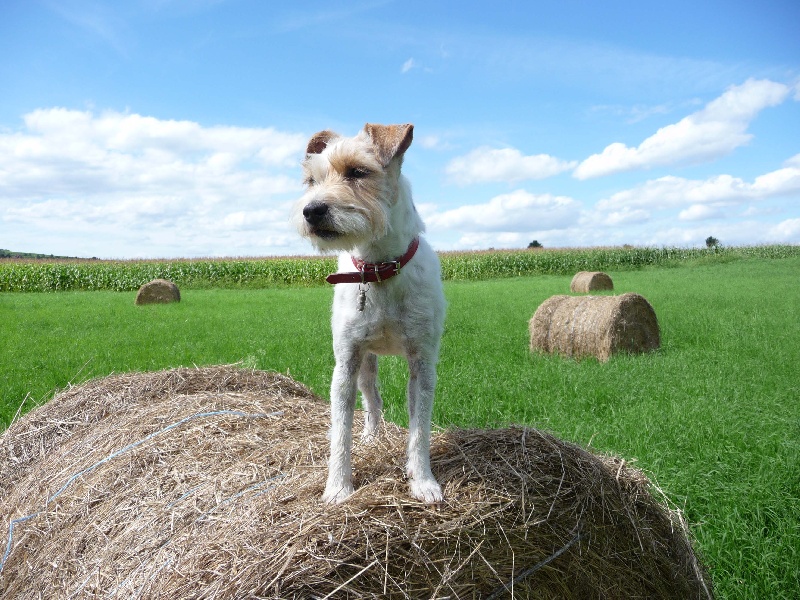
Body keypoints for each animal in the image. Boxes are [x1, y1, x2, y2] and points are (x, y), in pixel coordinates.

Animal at [292, 124, 446, 504]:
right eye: (312, 180)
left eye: (358, 172)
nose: (311, 211)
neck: (379, 269)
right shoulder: (346, 363)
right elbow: (340, 431)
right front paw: (338, 487)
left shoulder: (423, 364)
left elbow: (420, 429)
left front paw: (423, 481)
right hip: (364, 364)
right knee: (372, 401)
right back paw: (372, 436)